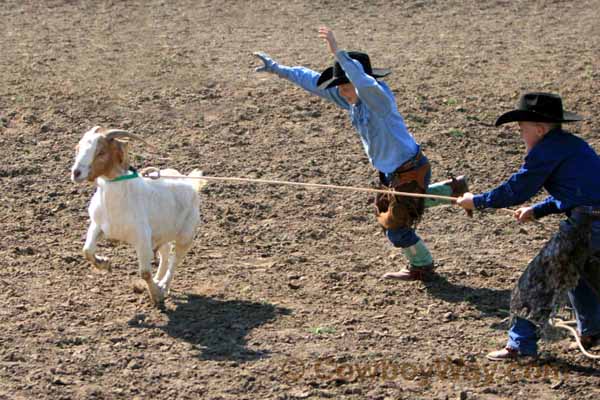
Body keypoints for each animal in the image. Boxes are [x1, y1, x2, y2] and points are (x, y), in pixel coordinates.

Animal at [69, 126, 206, 304]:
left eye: (101, 152)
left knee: (175, 260)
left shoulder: (142, 239)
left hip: (186, 234)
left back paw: (163, 286)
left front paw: (156, 295)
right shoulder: (98, 225)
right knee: (165, 253)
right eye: (77, 148)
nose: (76, 173)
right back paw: (158, 280)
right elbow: (86, 250)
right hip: (161, 233)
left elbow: (145, 272)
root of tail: (191, 182)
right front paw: (104, 263)